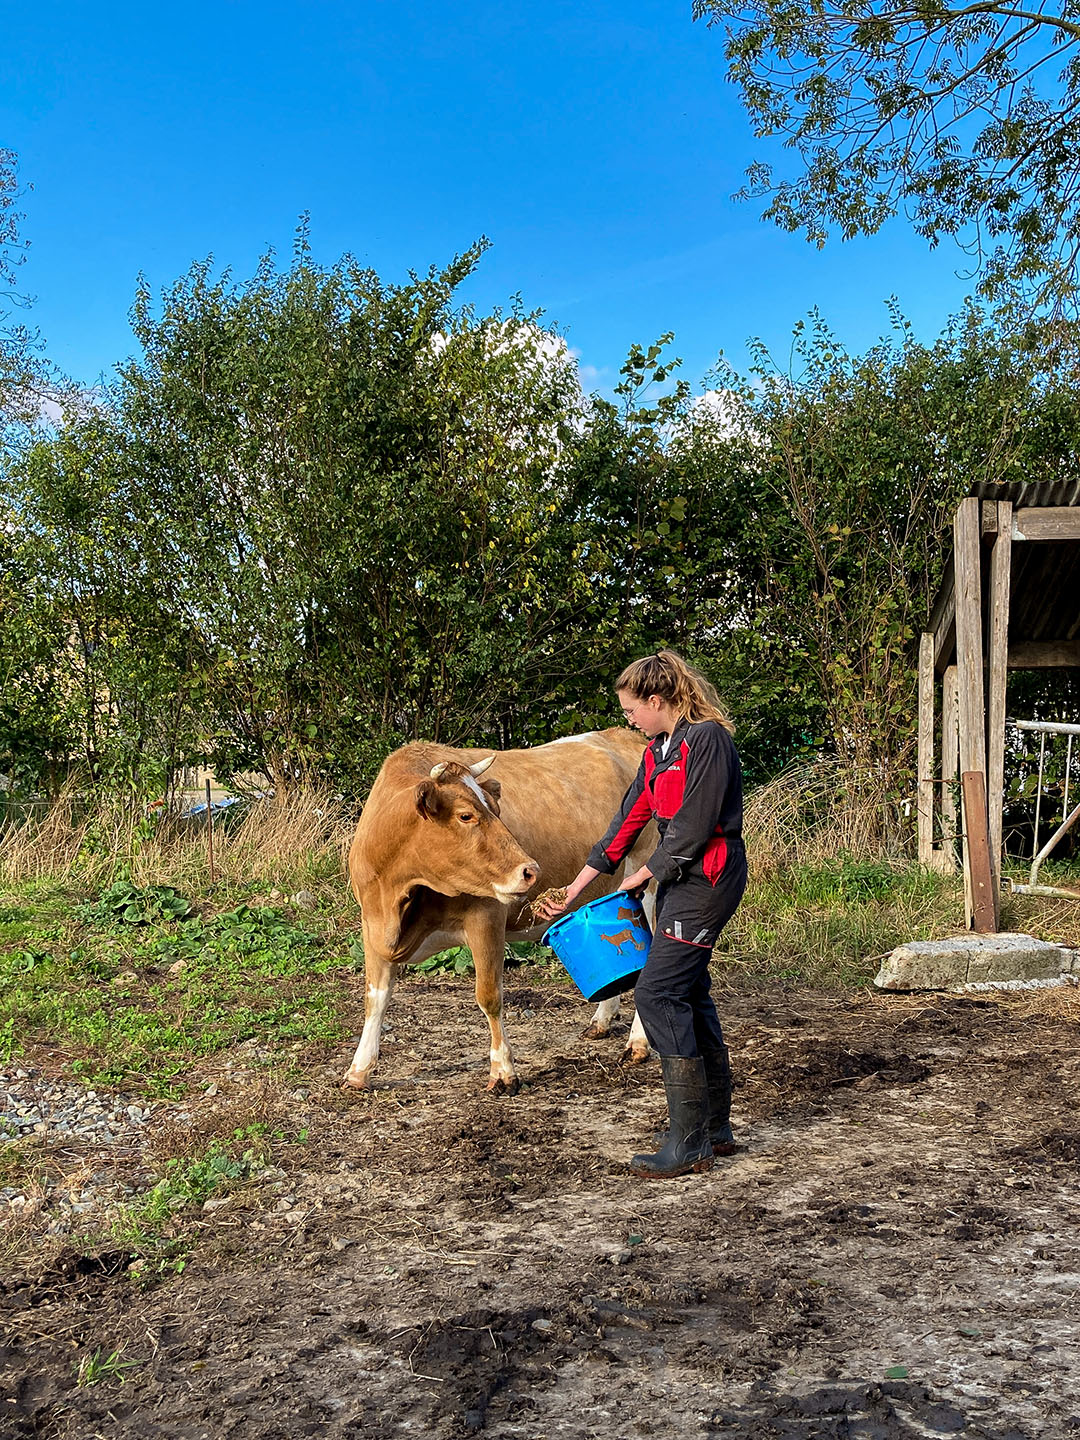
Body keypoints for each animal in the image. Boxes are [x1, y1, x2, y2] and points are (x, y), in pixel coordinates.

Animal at [344, 731, 659, 1088]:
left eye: (495, 808)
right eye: (466, 815)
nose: (530, 871)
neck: (398, 895)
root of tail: (624, 736)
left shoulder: (487, 918)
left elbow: (489, 997)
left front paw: (503, 1070)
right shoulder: (372, 925)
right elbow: (375, 998)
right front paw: (359, 1070)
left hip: (646, 886)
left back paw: (638, 1043)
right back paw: (602, 1020)